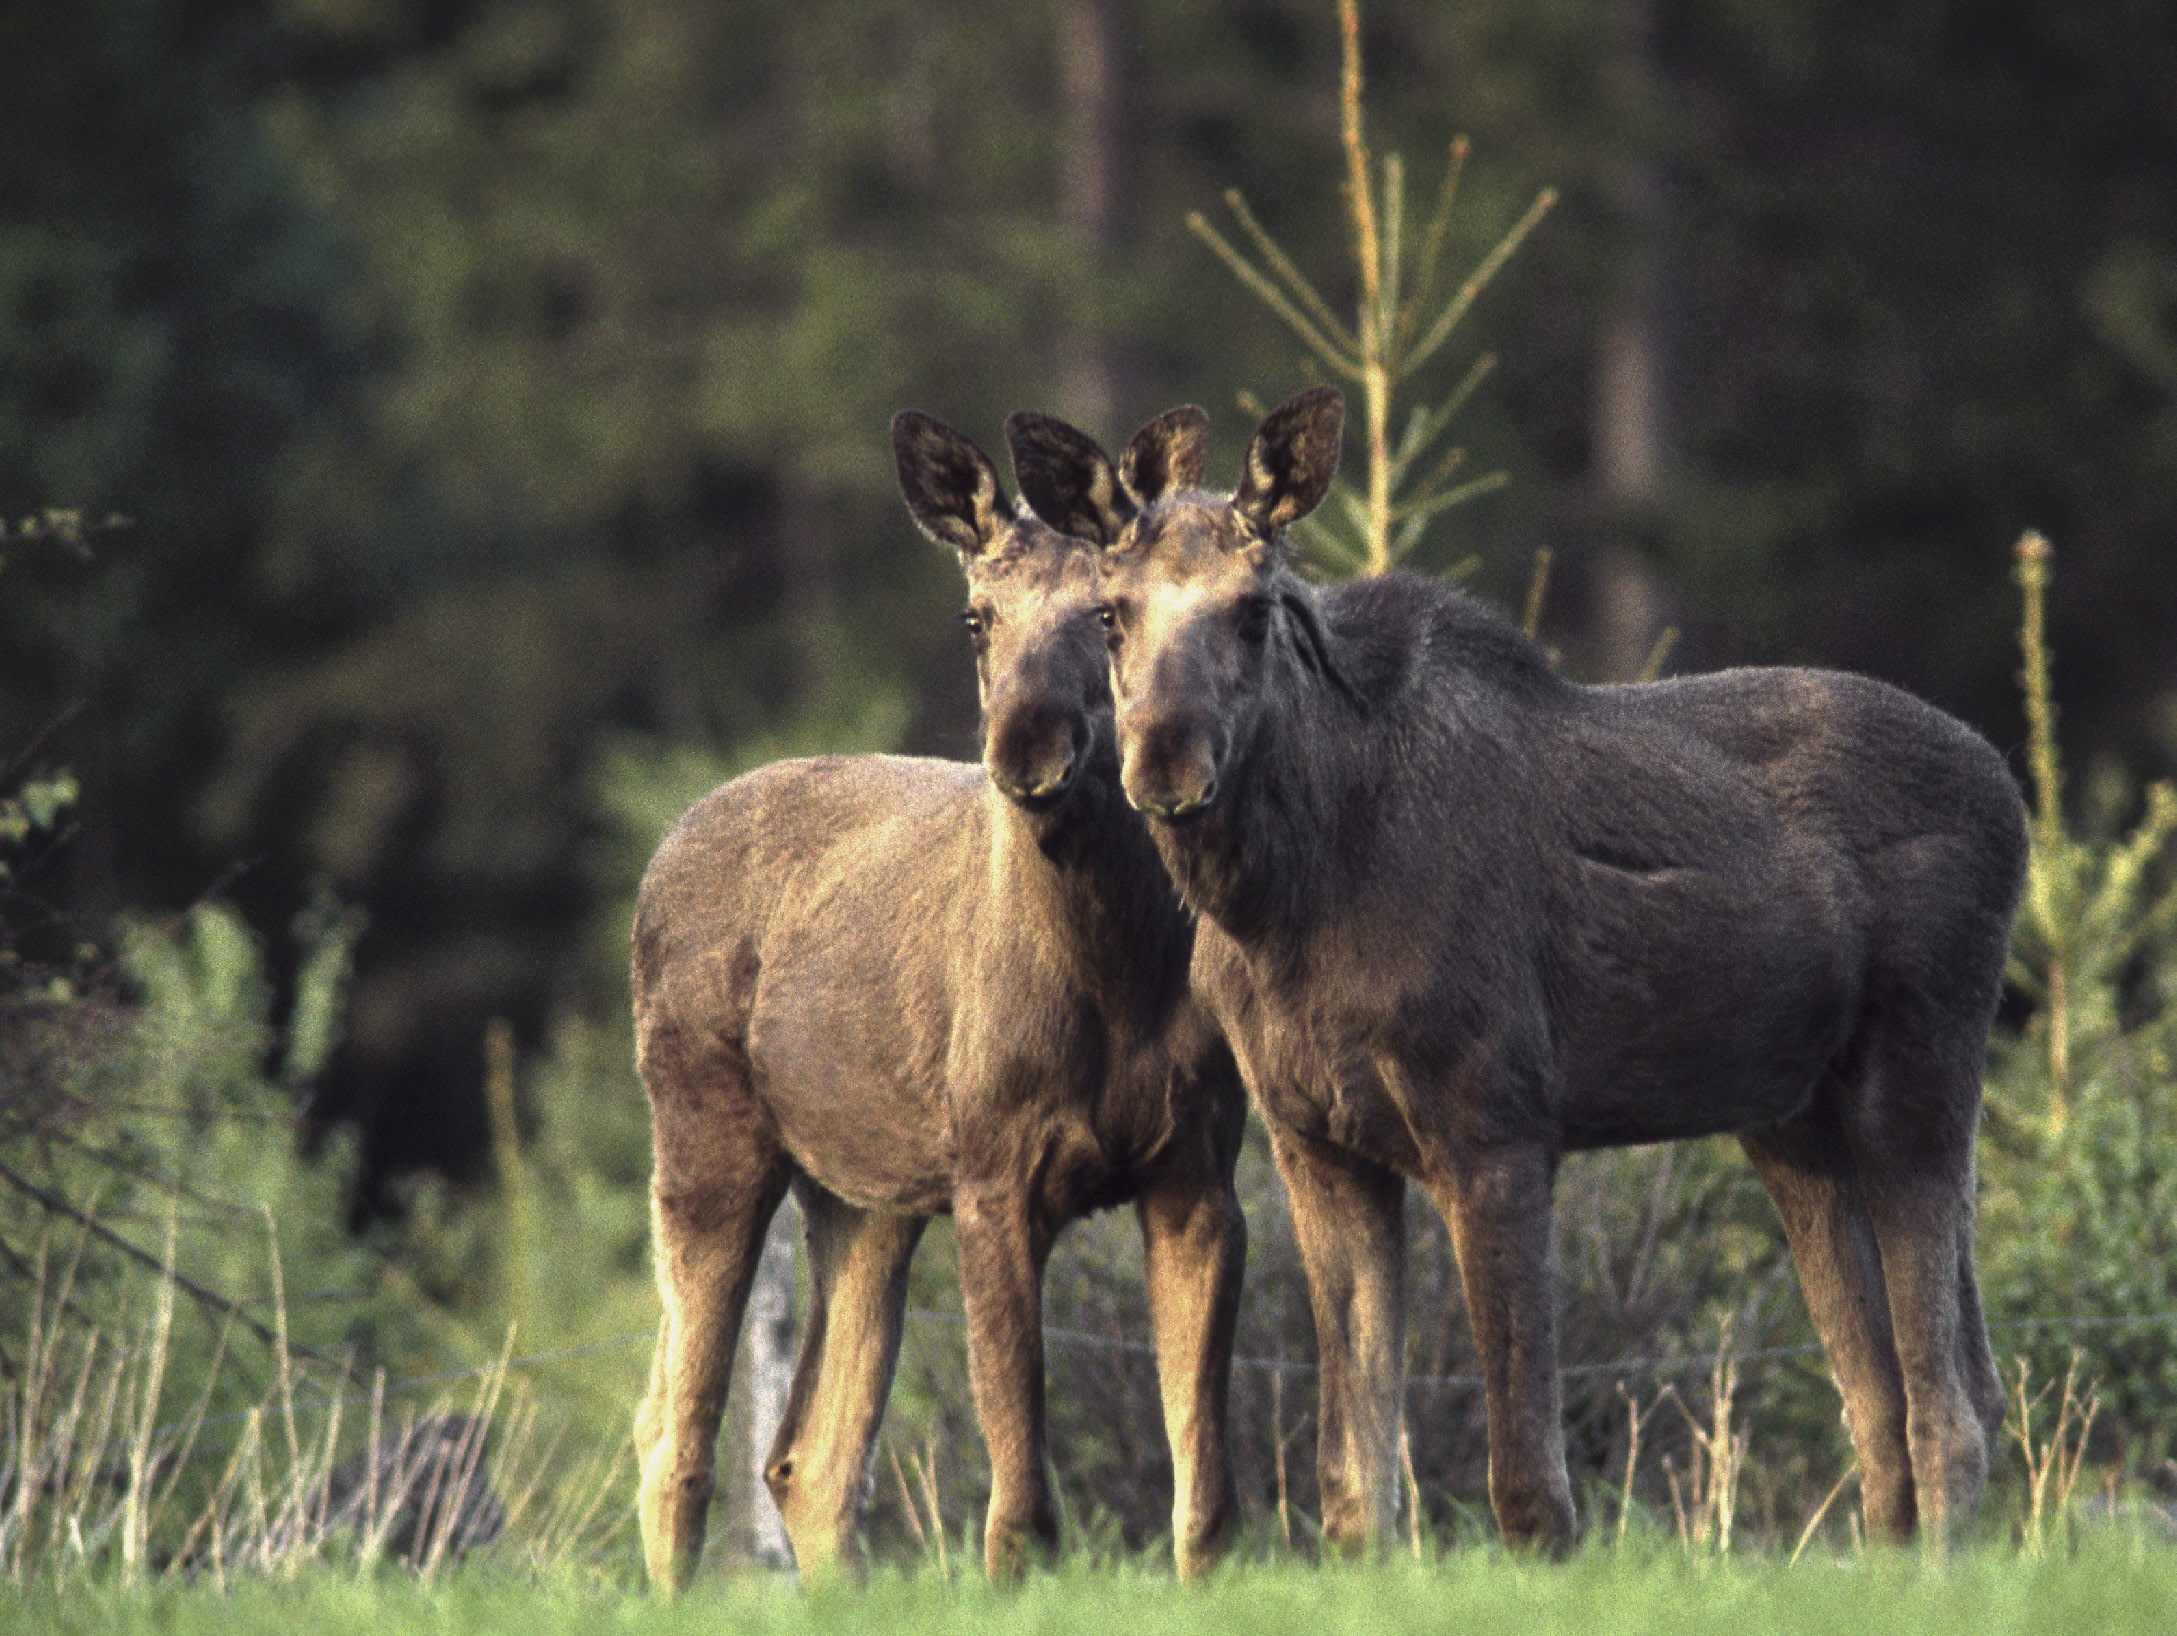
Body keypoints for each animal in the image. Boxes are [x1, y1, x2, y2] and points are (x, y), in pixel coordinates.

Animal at [631, 416, 1245, 1594]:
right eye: (976, 615)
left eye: (1104, 609)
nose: (1025, 748)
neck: (1111, 974)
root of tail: (662, 848)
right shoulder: (992, 1170)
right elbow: (1020, 1489)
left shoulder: (1197, 1169)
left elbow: (1203, 1484)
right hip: (700, 1128)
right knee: (674, 1433)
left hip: (864, 1192)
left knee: (808, 1458)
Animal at [1010, 389, 2028, 1551]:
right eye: (1108, 614)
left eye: (1254, 610)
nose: (1166, 761)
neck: (1281, 909)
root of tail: (2011, 794)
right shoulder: (1316, 1143)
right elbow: (1352, 1477)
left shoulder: (1497, 1125)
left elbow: (1527, 1484)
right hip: (1792, 1119)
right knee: (1890, 1397)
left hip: (1918, 1066)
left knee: (1949, 1404)